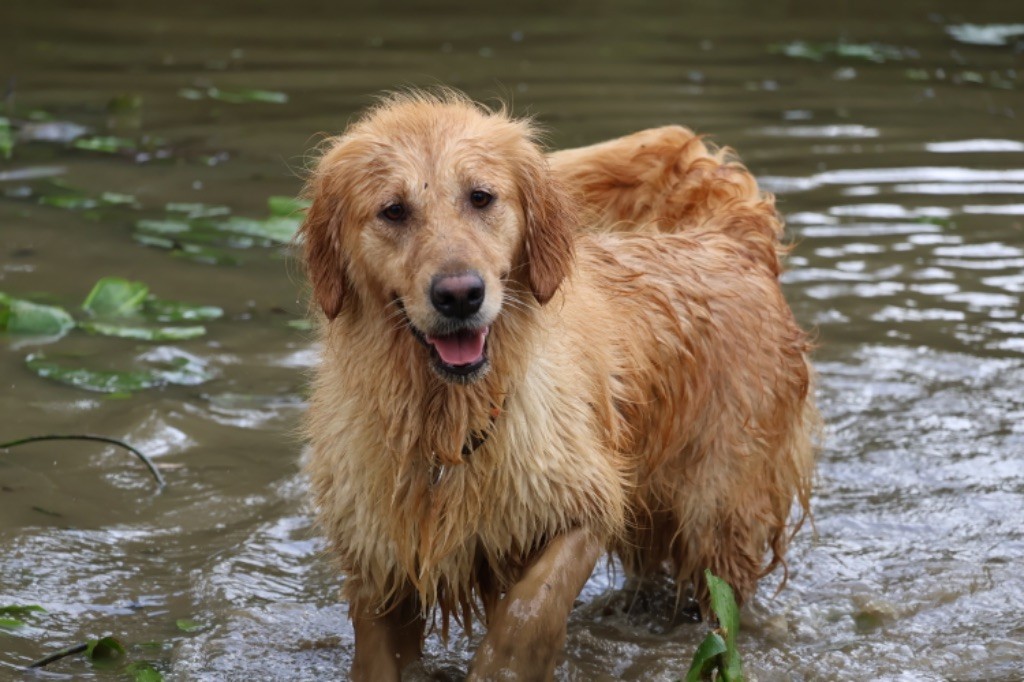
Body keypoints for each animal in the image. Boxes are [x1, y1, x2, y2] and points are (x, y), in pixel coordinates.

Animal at [299, 91, 815, 679]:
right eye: (393, 210)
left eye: (481, 197)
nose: (460, 294)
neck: (447, 427)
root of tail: (729, 235)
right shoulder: (379, 561)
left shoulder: (583, 499)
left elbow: (531, 607)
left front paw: (501, 668)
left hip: (720, 510)